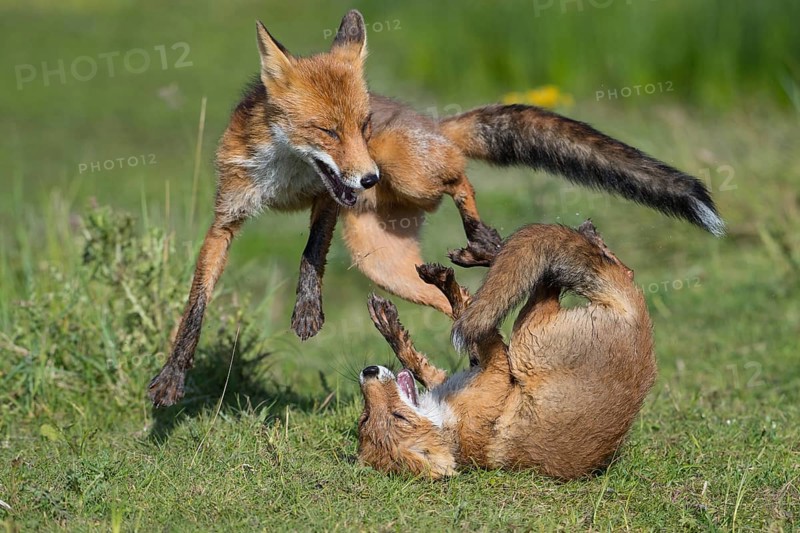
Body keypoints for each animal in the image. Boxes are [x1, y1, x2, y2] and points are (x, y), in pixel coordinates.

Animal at [148, 9, 719, 407]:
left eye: (360, 125)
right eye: (327, 130)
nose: (368, 179)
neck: (288, 177)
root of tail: (432, 123)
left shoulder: (329, 200)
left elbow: (311, 254)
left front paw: (306, 309)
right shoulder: (228, 217)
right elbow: (196, 305)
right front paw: (173, 377)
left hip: (407, 168)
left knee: (460, 179)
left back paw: (481, 239)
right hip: (387, 267)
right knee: (466, 305)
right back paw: (479, 272)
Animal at [357, 221, 656, 479]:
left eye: (363, 418)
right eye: (396, 417)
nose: (368, 371)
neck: (446, 424)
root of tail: (634, 312)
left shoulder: (463, 375)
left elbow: (418, 360)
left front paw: (389, 325)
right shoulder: (498, 369)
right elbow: (469, 316)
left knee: (617, 268)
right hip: (526, 339)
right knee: (550, 279)